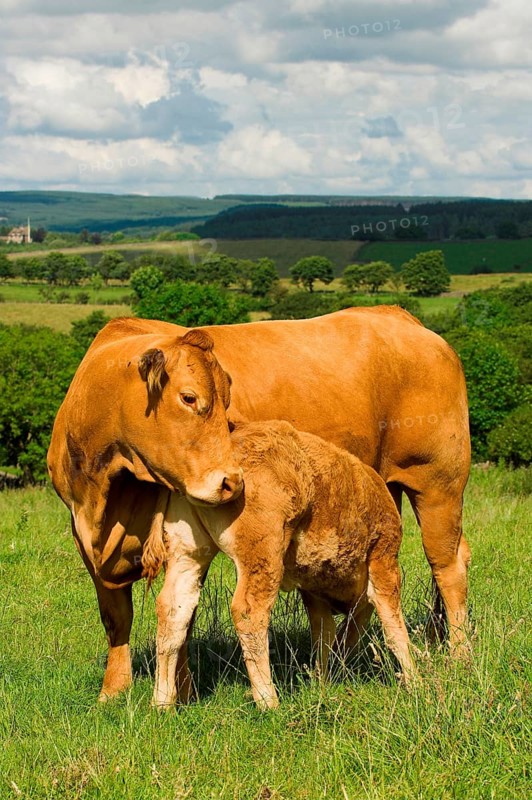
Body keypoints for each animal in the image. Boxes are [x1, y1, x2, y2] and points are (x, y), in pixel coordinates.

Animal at [144, 420, 418, 710]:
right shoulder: (384, 559)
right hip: (263, 557)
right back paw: (268, 700)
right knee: (249, 612)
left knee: (173, 610)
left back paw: (162, 702)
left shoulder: (313, 590)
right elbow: (394, 629)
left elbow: (324, 635)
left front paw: (321, 683)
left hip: (188, 554)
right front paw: (416, 681)